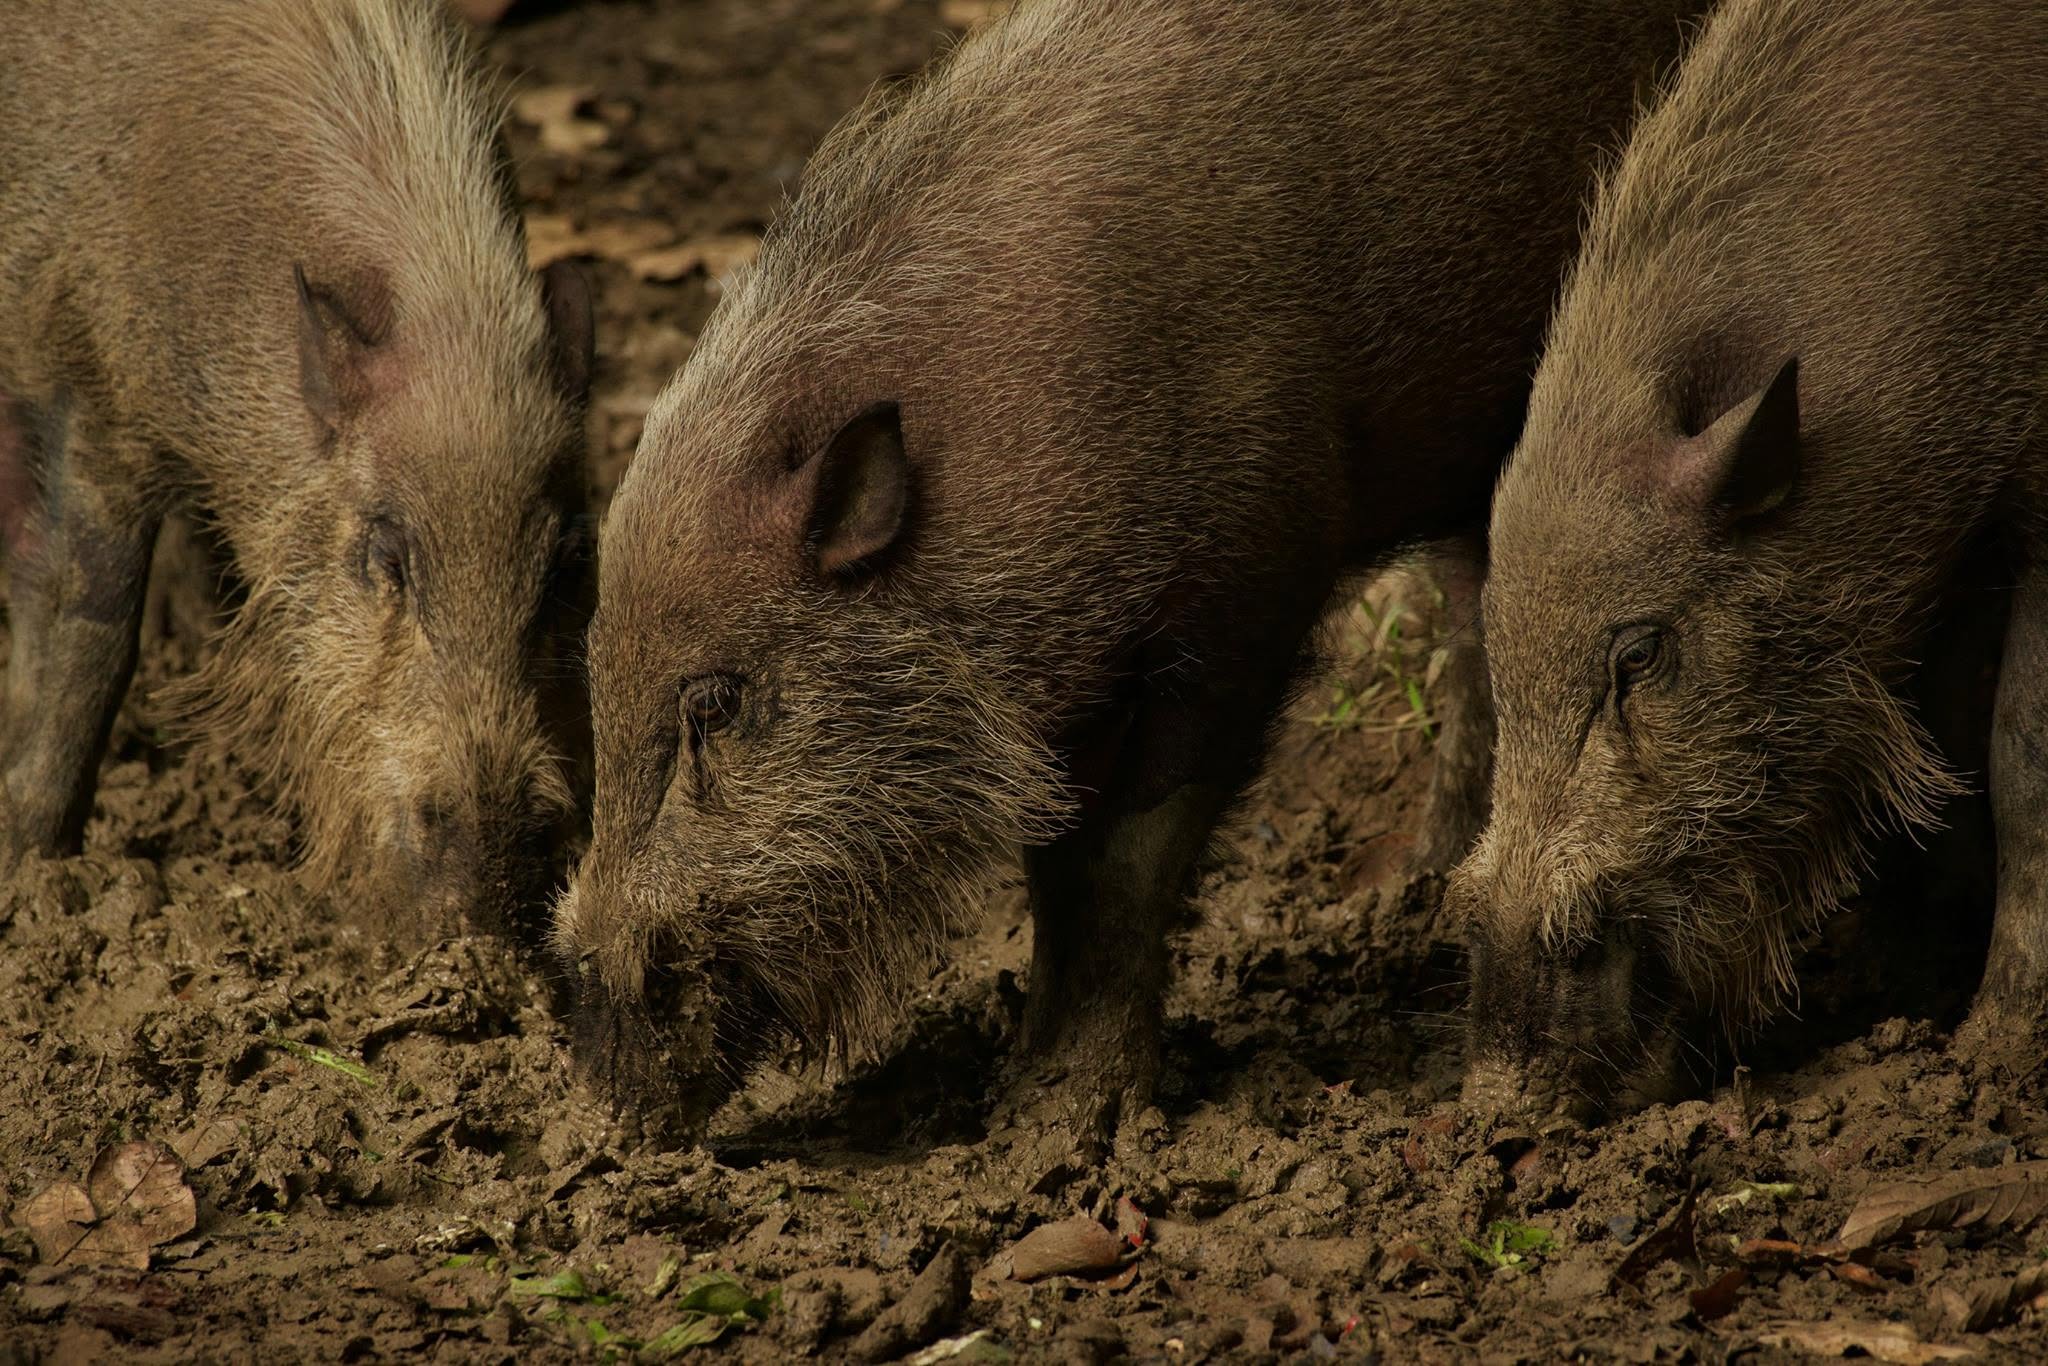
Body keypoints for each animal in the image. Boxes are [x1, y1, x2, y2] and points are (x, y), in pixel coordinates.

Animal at [0, 0, 593, 934]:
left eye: (569, 562)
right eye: (386, 556)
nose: (486, 918)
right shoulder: (89, 389)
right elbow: (87, 628)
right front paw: (29, 869)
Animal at [560, 0, 1710, 1146]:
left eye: (715, 702)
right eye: (598, 692)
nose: (610, 1103)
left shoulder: (1244, 592)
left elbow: (1131, 849)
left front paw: (1074, 1118)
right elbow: (1053, 869)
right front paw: (1021, 1096)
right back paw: (1410, 878)